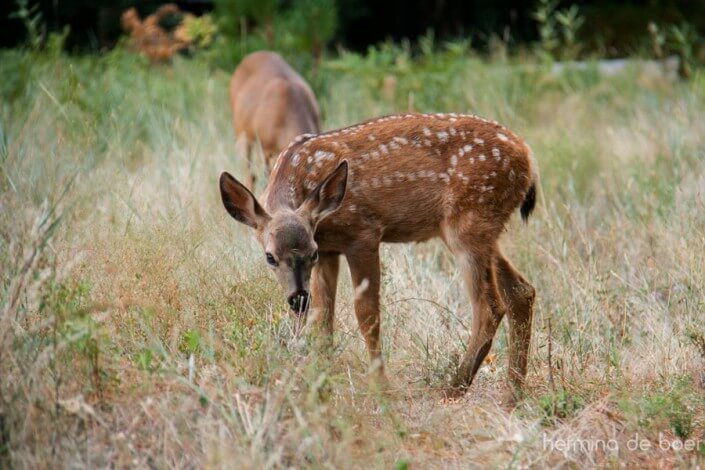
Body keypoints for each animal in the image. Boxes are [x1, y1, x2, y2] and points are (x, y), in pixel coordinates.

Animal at [217, 113, 536, 392]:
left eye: (312, 253)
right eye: (270, 257)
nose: (297, 298)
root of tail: (528, 156)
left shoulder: (363, 234)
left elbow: (367, 314)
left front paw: (381, 385)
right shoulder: (331, 249)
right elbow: (324, 317)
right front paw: (321, 378)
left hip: (469, 222)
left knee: (489, 306)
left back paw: (453, 387)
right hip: (482, 228)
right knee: (522, 291)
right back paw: (512, 395)